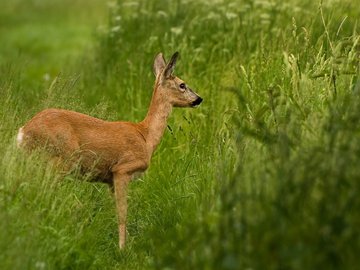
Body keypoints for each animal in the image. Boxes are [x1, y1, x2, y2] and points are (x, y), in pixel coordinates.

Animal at [16, 52, 202, 249]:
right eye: (182, 84)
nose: (199, 99)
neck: (146, 136)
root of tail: (23, 132)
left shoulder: (110, 180)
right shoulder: (122, 169)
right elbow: (122, 212)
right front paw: (122, 248)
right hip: (60, 160)